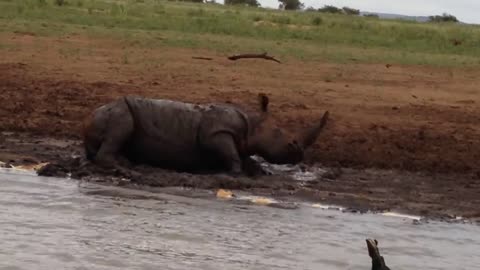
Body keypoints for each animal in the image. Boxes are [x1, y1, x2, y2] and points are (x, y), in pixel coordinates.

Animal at [83, 95, 330, 177]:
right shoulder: (216, 133)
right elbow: (231, 154)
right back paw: (126, 170)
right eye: (281, 135)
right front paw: (235, 173)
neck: (252, 124)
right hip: (118, 111)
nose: (299, 153)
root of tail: (91, 114)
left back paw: (127, 163)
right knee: (121, 126)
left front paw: (263, 172)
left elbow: (246, 157)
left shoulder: (241, 142)